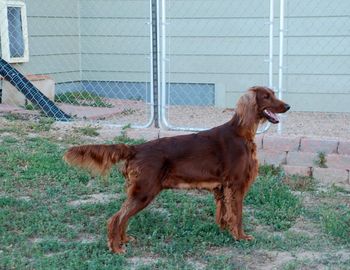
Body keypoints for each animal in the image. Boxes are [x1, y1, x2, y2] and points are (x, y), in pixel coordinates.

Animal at [63, 86, 290, 253]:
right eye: (266, 96)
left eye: (274, 94)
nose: (287, 106)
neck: (241, 132)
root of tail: (136, 148)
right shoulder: (236, 185)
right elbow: (239, 215)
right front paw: (241, 237)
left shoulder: (222, 188)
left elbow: (225, 214)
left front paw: (226, 231)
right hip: (144, 191)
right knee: (116, 218)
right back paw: (116, 248)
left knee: (123, 218)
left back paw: (125, 240)